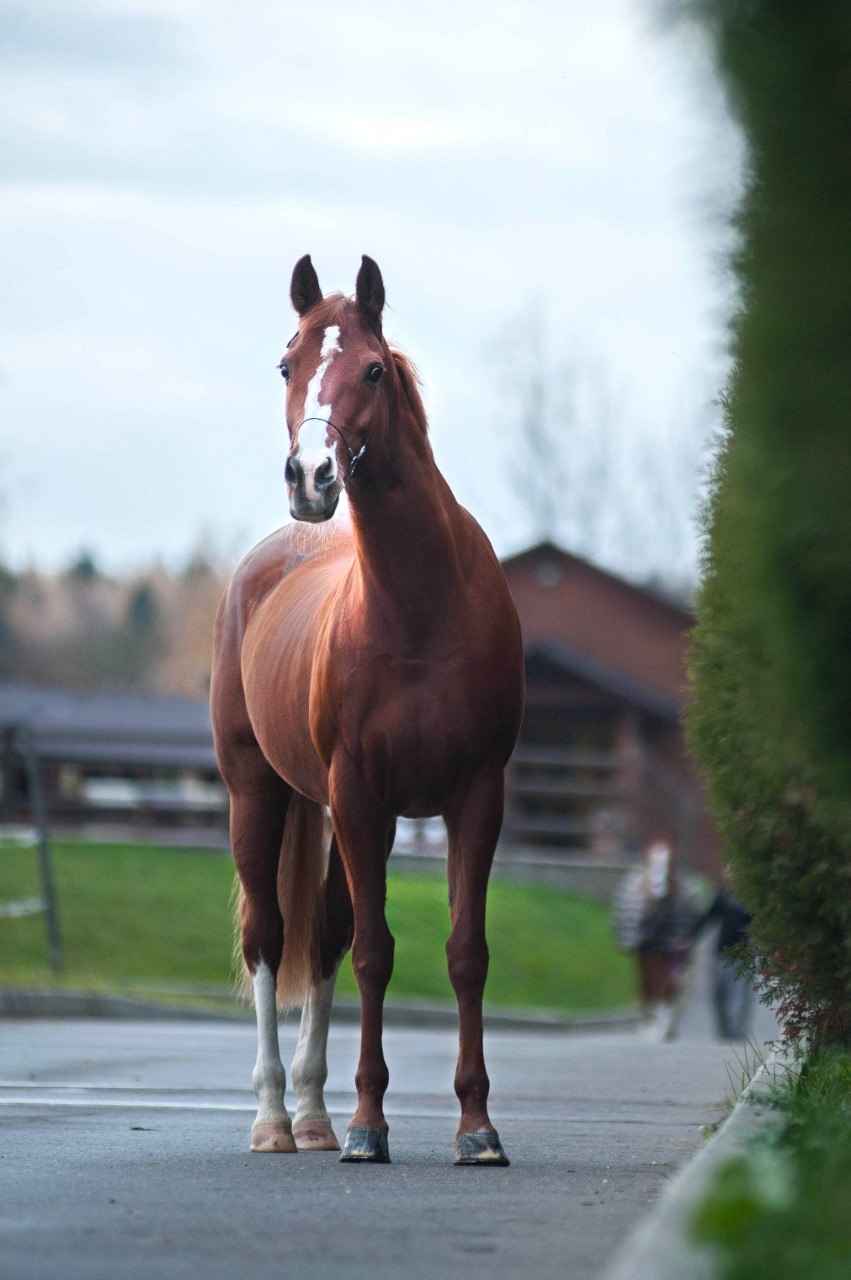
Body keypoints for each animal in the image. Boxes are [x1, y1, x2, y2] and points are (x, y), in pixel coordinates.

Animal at [208, 254, 522, 1167]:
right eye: (287, 365)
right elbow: (377, 954)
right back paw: (278, 1122)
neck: (418, 608)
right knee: (271, 936)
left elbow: (462, 952)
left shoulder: (473, 795)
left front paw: (476, 1128)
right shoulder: (358, 796)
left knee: (322, 937)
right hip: (258, 794)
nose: (311, 479)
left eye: (374, 369)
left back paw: (313, 1116)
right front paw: (368, 1128)